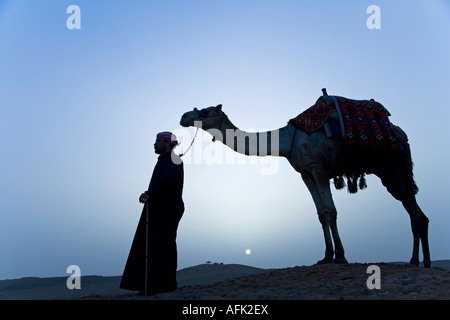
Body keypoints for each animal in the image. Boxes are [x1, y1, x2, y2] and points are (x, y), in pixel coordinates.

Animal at [178, 92, 430, 268]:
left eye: (207, 110)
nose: (184, 116)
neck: (288, 139)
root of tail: (401, 135)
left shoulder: (319, 169)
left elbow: (331, 210)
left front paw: (340, 257)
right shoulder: (305, 173)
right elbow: (320, 213)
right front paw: (325, 257)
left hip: (396, 168)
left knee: (414, 211)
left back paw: (416, 260)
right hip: (389, 173)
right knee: (416, 212)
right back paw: (420, 261)